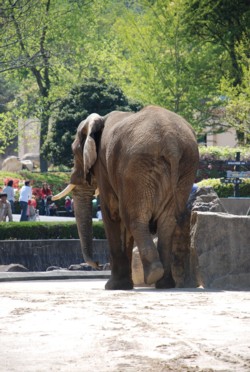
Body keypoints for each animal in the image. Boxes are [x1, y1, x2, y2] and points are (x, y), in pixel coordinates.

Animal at [52, 104, 199, 290]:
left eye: (74, 151)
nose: (98, 264)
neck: (100, 119)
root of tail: (172, 145)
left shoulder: (103, 166)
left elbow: (112, 213)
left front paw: (113, 286)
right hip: (185, 168)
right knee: (168, 222)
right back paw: (164, 283)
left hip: (137, 168)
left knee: (132, 218)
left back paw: (153, 274)